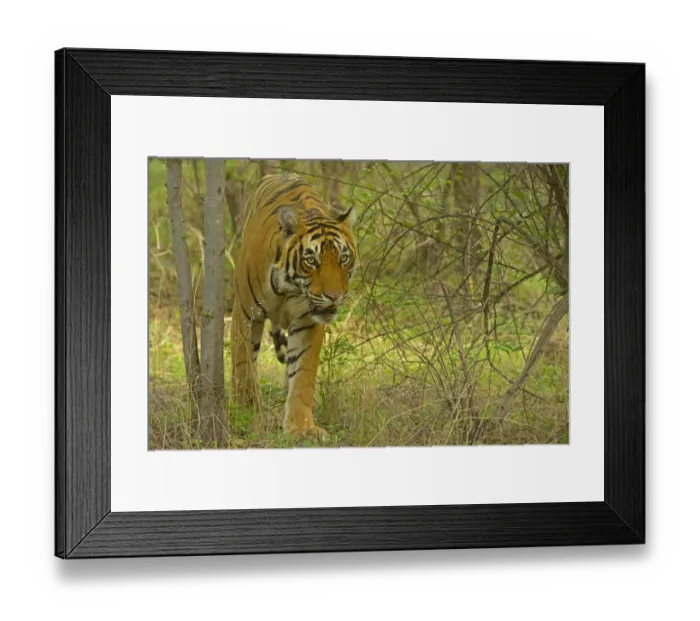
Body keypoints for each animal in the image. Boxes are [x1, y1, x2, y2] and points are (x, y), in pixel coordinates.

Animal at [230, 173, 357, 442]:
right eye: (311, 260)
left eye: (343, 258)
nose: (335, 296)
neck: (289, 289)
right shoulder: (245, 312)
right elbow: (242, 365)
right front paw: (245, 412)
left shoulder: (308, 323)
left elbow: (303, 375)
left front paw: (302, 427)